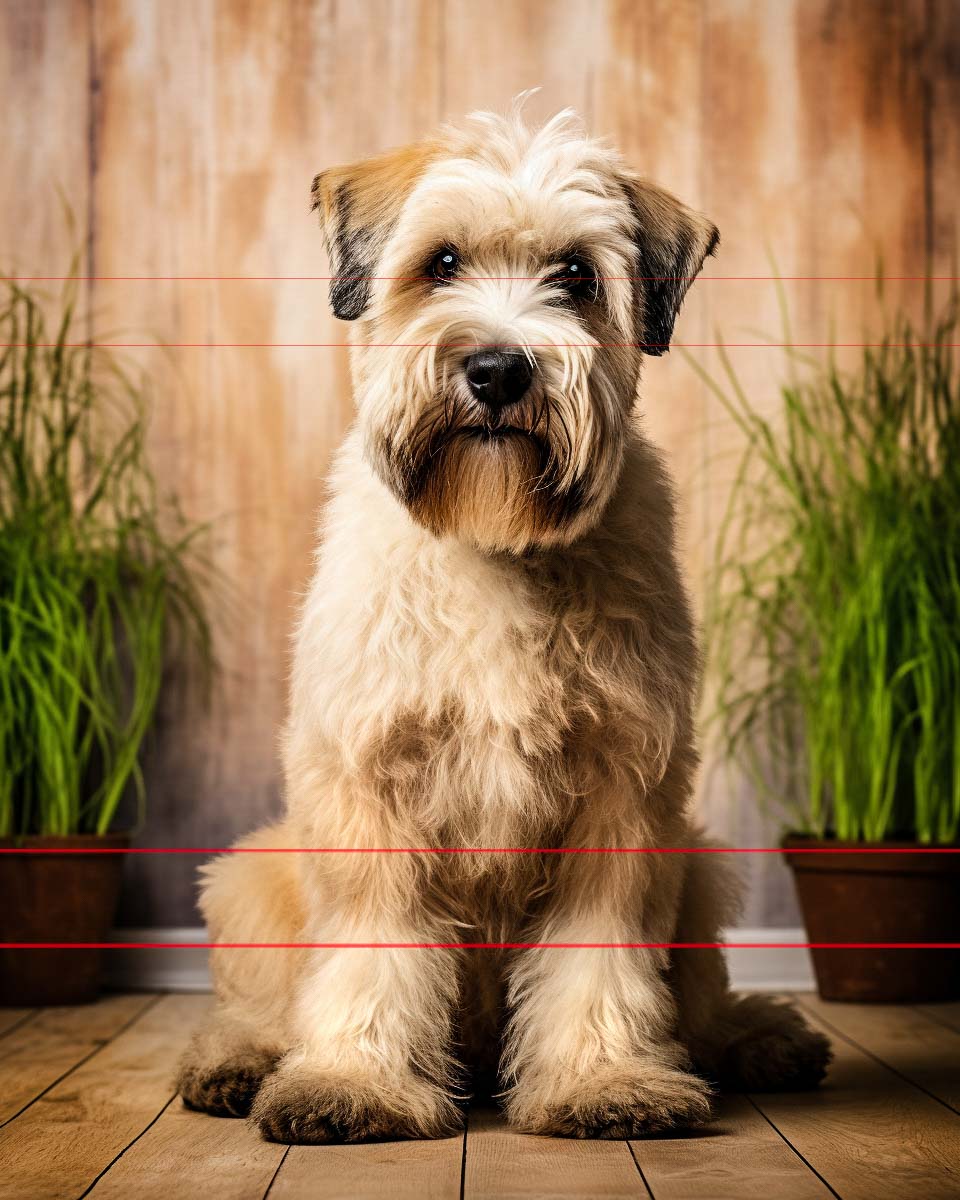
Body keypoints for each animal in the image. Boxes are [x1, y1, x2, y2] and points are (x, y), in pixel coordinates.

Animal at [176, 105, 830, 1142]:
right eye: (441, 263)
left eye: (577, 276)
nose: (496, 369)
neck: (494, 545)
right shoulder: (369, 790)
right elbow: (370, 948)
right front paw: (353, 1083)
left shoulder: (623, 797)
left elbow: (599, 954)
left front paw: (604, 1081)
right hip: (252, 874)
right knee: (255, 1006)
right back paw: (235, 1063)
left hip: (700, 869)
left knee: (704, 1003)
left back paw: (763, 1038)